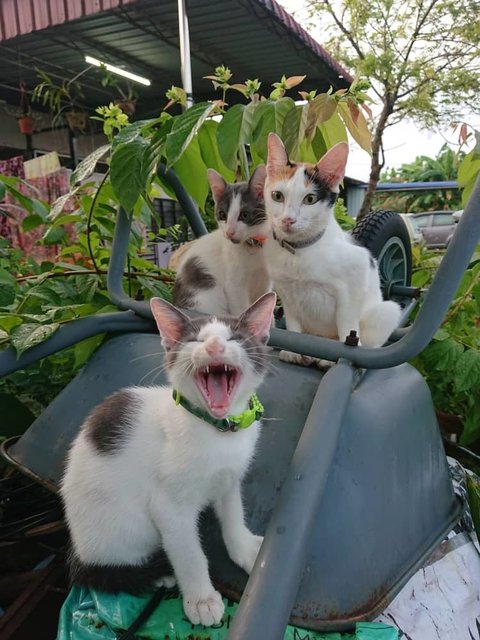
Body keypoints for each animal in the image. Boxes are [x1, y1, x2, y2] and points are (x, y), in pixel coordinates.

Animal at [62, 292, 276, 628]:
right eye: (194, 340)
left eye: (234, 338)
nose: (214, 347)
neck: (218, 432)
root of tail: (77, 551)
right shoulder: (168, 507)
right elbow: (188, 552)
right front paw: (201, 599)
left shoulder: (229, 479)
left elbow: (232, 515)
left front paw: (243, 548)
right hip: (127, 529)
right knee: (111, 568)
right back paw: (157, 575)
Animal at [172, 165, 270, 316]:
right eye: (222, 215)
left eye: (244, 215)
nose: (229, 232)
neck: (254, 246)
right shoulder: (234, 286)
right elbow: (241, 309)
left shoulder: (265, 282)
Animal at [264, 134, 400, 364]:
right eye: (277, 196)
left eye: (310, 199)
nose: (288, 220)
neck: (300, 251)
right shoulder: (286, 292)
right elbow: (292, 323)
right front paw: (293, 351)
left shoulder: (356, 276)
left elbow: (347, 326)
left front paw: (340, 356)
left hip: (386, 310)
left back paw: (327, 359)